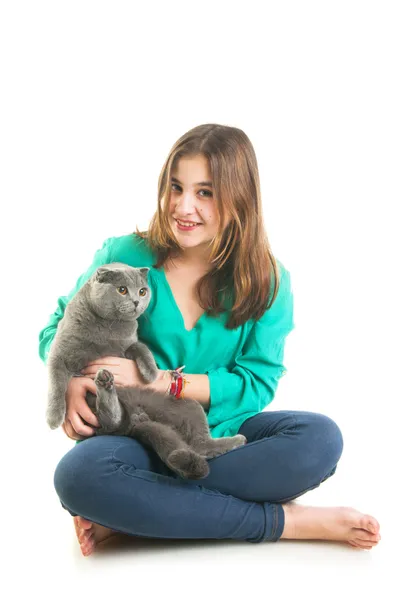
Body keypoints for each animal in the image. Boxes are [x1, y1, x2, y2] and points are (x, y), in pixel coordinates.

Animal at [45, 262, 246, 478]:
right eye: (122, 290)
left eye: (142, 291)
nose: (135, 301)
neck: (109, 328)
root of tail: (137, 420)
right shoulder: (59, 353)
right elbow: (56, 384)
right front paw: (53, 418)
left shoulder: (130, 343)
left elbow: (141, 348)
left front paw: (151, 374)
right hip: (94, 412)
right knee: (110, 421)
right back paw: (105, 384)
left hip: (187, 406)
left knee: (201, 445)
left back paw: (237, 440)